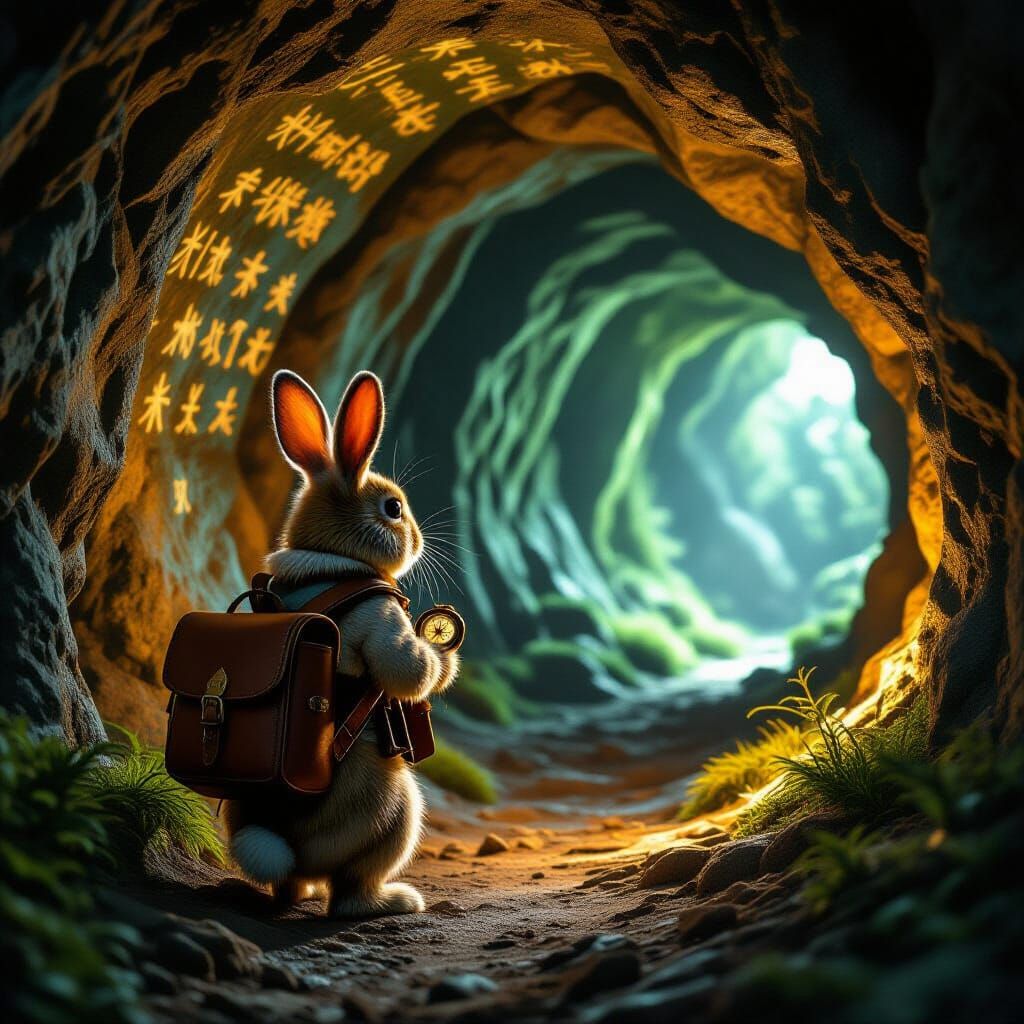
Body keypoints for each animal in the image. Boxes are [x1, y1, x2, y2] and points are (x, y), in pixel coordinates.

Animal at [224, 368, 459, 918]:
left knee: (288, 888)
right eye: (393, 508)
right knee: (350, 893)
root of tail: (281, 844)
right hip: (396, 813)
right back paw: (396, 900)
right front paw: (445, 655)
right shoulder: (381, 615)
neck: (331, 558)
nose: (418, 538)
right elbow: (408, 669)